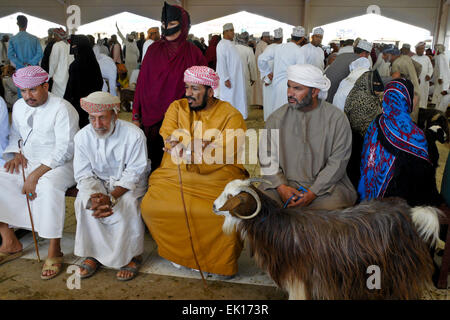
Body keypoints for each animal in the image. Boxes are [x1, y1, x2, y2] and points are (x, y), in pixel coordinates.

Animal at [213, 179, 442, 298]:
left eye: (231, 197)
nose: (214, 206)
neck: (275, 225)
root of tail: (409, 212)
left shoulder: (299, 279)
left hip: (400, 270)